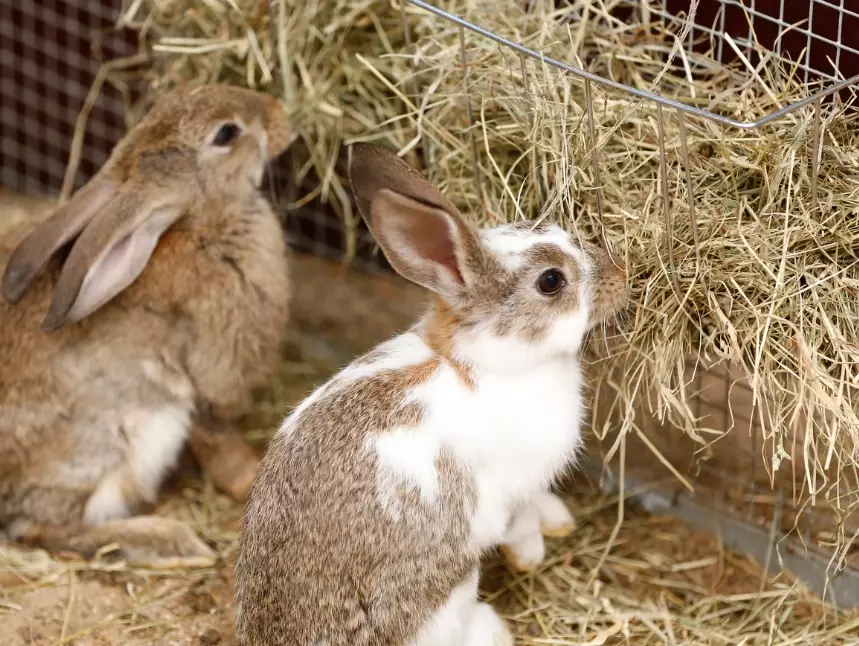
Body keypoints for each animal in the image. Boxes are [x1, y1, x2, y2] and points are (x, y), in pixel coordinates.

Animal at [0, 83, 292, 567]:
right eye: (227, 133)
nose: (278, 112)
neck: (199, 227)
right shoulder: (204, 375)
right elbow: (219, 439)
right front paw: (249, 477)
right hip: (101, 448)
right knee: (44, 531)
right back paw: (168, 539)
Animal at [234, 142, 628, 645]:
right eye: (551, 281)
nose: (622, 275)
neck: (489, 362)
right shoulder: (508, 490)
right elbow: (517, 522)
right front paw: (531, 555)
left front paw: (557, 520)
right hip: (447, 595)